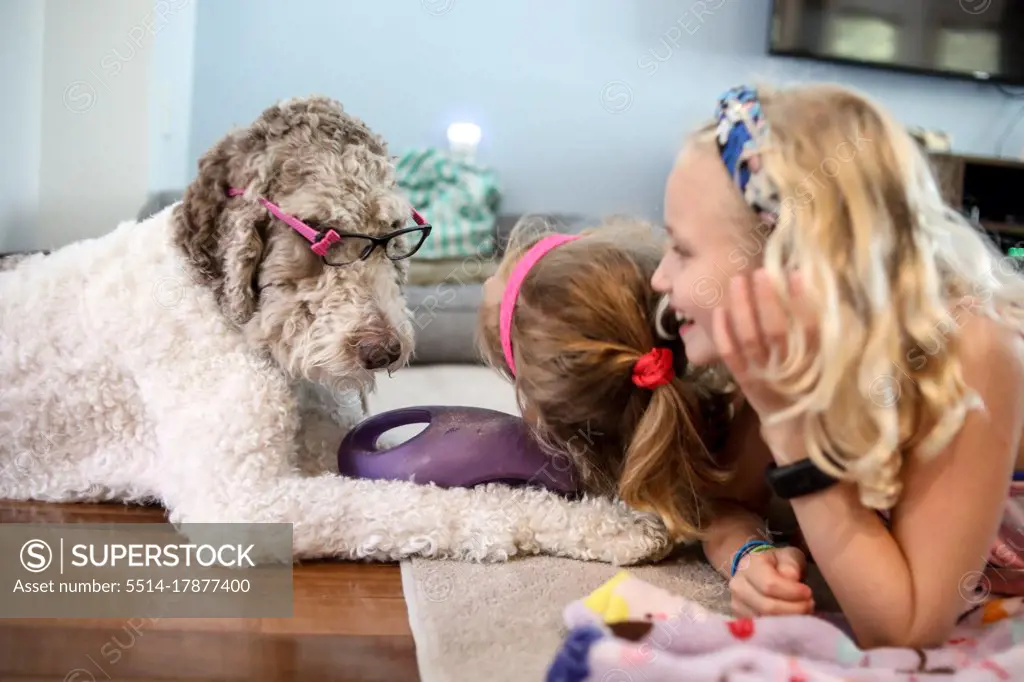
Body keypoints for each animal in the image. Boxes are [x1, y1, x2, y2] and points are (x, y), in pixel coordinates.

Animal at [0, 94, 671, 561]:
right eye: (323, 234)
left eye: (398, 234)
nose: (383, 352)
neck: (217, 299)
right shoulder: (244, 499)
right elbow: (426, 500)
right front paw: (613, 524)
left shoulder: (326, 438)